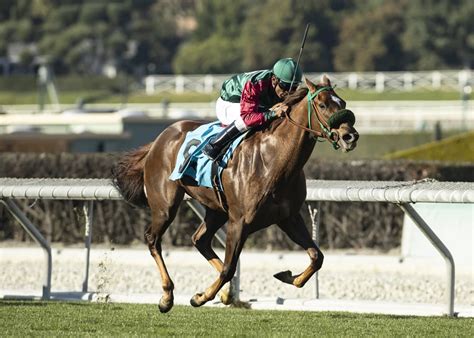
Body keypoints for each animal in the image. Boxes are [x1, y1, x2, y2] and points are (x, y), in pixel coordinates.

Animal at [114, 75, 360, 312]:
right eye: (322, 104)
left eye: (343, 103)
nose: (350, 136)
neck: (273, 160)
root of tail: (160, 138)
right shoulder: (240, 221)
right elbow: (229, 268)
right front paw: (200, 297)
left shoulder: (288, 217)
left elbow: (317, 257)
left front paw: (287, 276)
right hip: (165, 205)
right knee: (153, 239)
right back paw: (167, 296)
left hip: (217, 209)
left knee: (200, 240)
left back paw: (224, 294)